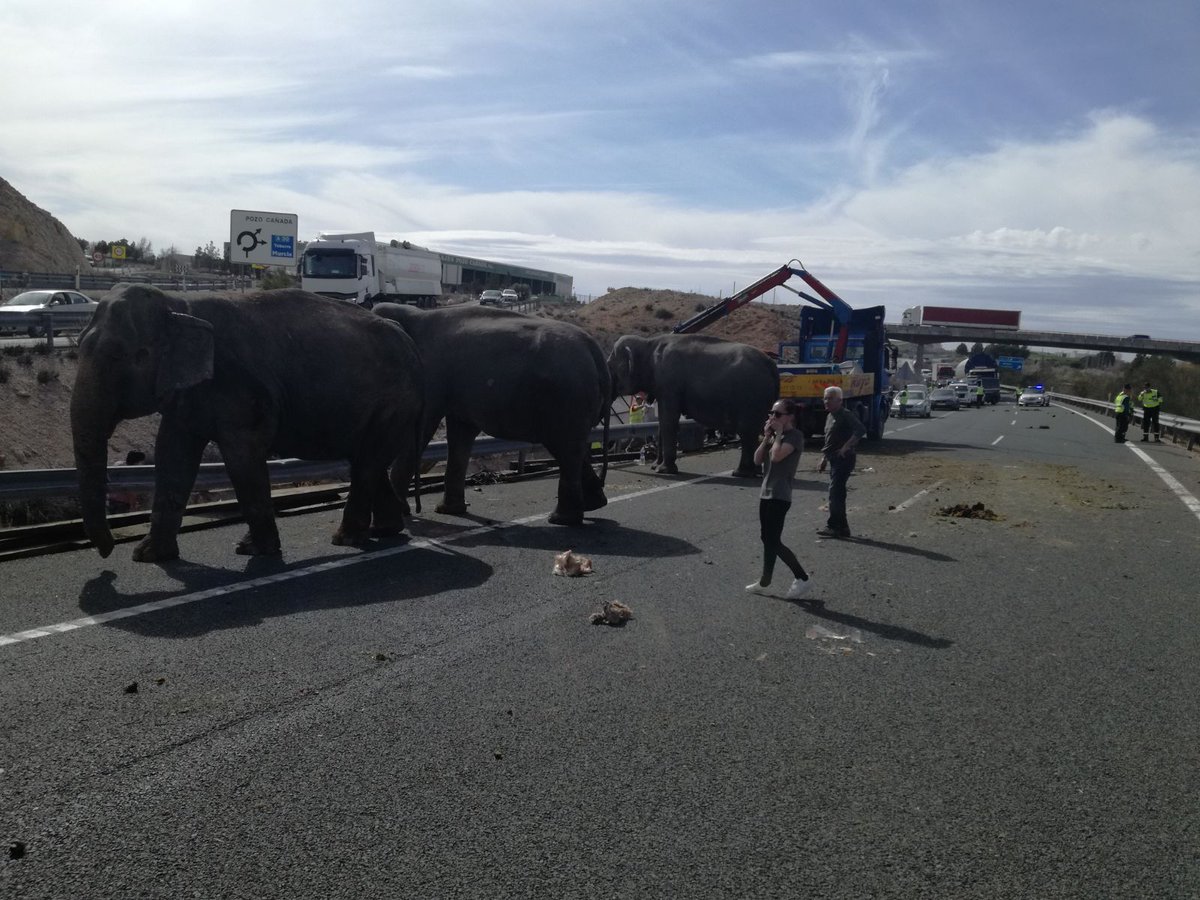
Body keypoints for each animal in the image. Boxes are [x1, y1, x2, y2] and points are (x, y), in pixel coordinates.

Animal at [72, 285, 424, 561]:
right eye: (77, 345)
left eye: (131, 356)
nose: (107, 551)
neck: (180, 305)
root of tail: (409, 342)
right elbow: (172, 455)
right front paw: (148, 556)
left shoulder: (240, 388)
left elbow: (242, 456)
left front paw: (255, 550)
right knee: (366, 461)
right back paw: (384, 530)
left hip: (393, 402)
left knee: (366, 463)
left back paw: (346, 539)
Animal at [372, 304, 609, 528]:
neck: (413, 314)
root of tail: (595, 350)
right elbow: (460, 435)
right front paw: (448, 511)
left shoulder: (431, 377)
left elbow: (423, 429)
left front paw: (405, 513)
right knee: (571, 449)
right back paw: (594, 505)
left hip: (567, 398)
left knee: (565, 449)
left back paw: (561, 519)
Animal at [609, 333, 777, 480]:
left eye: (610, 367)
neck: (648, 342)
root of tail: (772, 366)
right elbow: (662, 422)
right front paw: (655, 466)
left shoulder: (670, 383)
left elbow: (668, 419)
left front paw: (663, 470)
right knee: (758, 431)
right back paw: (756, 472)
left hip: (750, 397)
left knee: (747, 432)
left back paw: (740, 473)